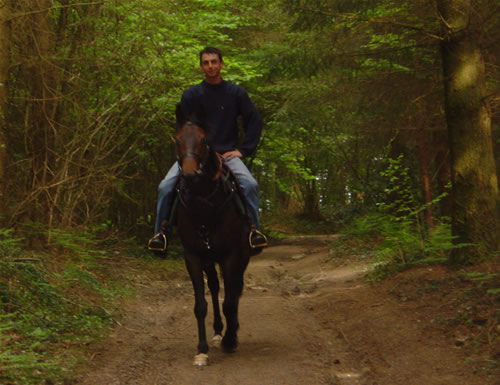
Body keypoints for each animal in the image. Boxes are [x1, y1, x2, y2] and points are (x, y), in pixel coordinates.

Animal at [174, 103, 252, 364]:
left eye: (204, 140)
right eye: (177, 139)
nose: (189, 175)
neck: (203, 204)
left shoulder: (231, 255)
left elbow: (230, 301)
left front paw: (230, 340)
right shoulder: (193, 256)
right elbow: (200, 304)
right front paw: (202, 349)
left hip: (241, 257)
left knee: (234, 290)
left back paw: (231, 332)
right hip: (210, 259)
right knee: (217, 287)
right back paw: (218, 330)